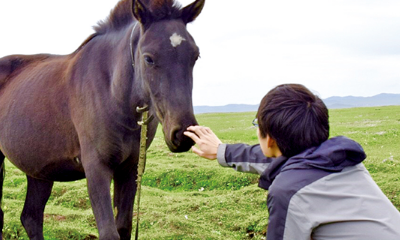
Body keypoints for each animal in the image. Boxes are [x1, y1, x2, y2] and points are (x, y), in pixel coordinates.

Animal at [0, 0, 205, 238]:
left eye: (195, 56)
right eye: (148, 58)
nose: (183, 134)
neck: (112, 93)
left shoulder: (130, 170)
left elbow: (123, 227)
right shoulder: (97, 169)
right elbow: (109, 232)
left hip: (39, 169)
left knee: (31, 218)